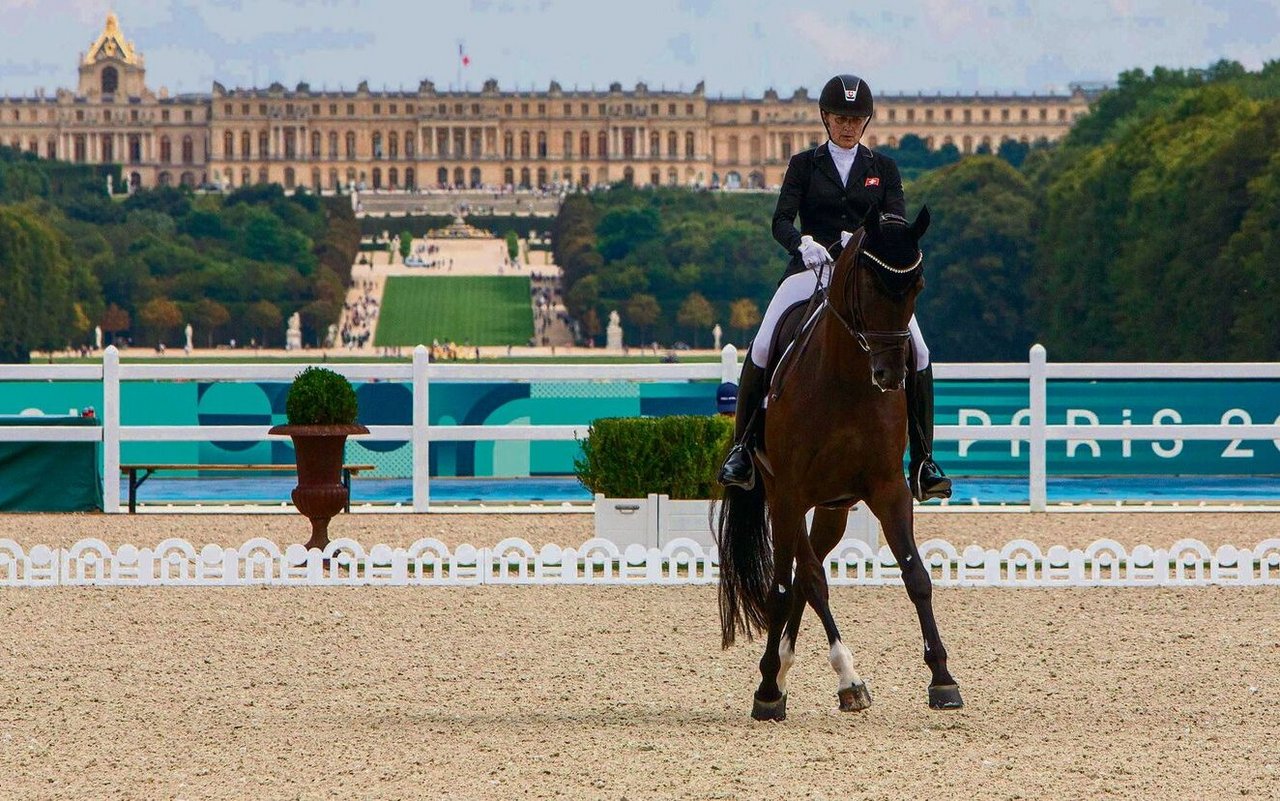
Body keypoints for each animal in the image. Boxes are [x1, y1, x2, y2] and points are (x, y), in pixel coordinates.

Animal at [711, 204, 962, 716]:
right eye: (868, 284)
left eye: (917, 285)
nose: (890, 375)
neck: (847, 382)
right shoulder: (789, 493)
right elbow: (802, 582)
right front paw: (837, 679)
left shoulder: (888, 489)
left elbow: (916, 575)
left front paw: (943, 679)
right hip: (781, 497)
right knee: (797, 579)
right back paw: (783, 684)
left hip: (833, 509)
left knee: (803, 572)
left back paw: (787, 674)